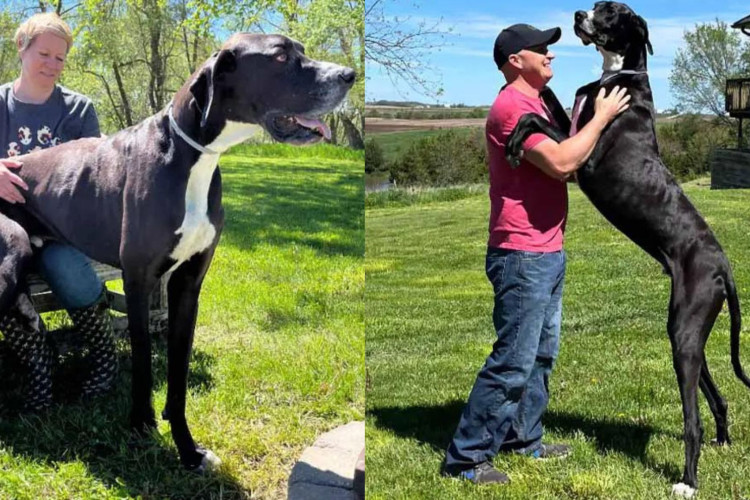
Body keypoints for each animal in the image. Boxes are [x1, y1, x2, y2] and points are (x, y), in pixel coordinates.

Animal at [0, 33, 356, 470]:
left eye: (301, 50)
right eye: (279, 56)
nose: (348, 75)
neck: (194, 155)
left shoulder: (187, 284)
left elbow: (179, 372)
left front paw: (187, 447)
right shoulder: (139, 280)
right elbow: (142, 364)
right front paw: (142, 426)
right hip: (11, 249)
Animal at [506, 2, 750, 496]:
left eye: (612, 12)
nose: (579, 13)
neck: (617, 74)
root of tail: (724, 265)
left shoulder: (583, 159)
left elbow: (535, 120)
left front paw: (515, 145)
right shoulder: (572, 129)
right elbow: (549, 106)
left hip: (686, 330)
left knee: (692, 418)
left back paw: (688, 481)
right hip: (688, 329)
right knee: (715, 394)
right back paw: (723, 439)